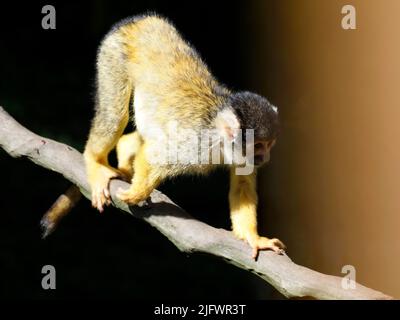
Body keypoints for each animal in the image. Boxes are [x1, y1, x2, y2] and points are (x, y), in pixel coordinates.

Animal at [42, 13, 284, 260]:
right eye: (258, 146)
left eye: (269, 145)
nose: (264, 158)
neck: (220, 140)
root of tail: (140, 19)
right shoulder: (195, 145)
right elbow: (155, 155)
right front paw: (137, 194)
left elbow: (242, 184)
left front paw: (253, 238)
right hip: (112, 53)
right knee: (115, 115)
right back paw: (94, 161)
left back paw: (125, 149)